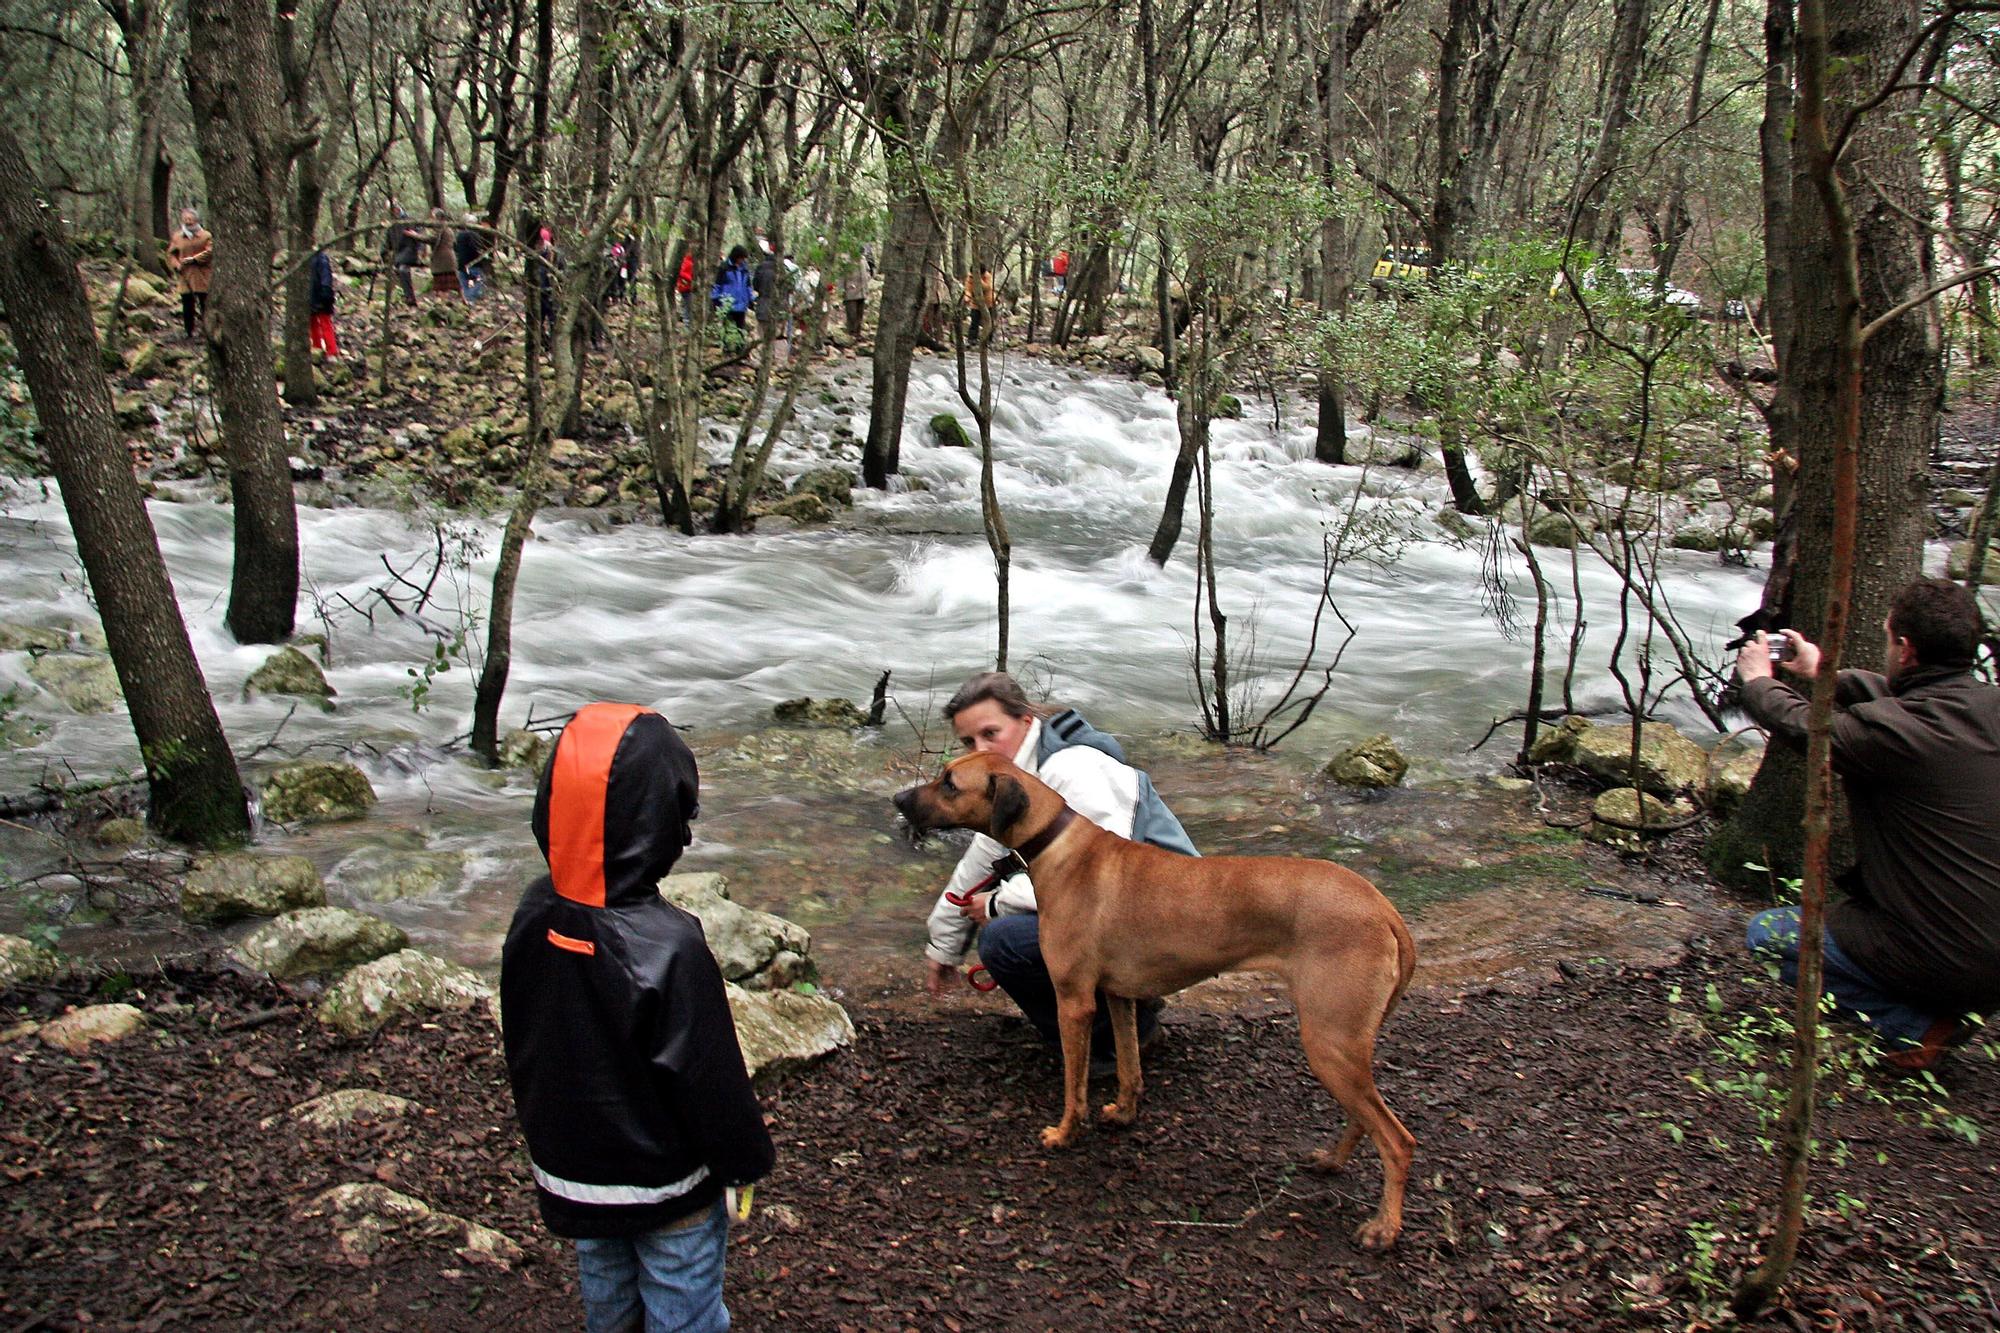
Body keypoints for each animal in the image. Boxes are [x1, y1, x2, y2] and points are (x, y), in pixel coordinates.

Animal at [892, 752, 1424, 1248]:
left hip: (1328, 1040)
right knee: (1365, 1121)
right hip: (1344, 1044)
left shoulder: (1074, 1002)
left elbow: (1073, 1086)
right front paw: (1123, 1113)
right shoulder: (1117, 996)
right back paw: (1332, 1161)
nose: (898, 800)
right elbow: (1130, 1066)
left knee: (1397, 1140)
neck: (1057, 842)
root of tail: (1384, 909)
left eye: (950, 783)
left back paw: (1384, 1227)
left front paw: (1064, 1133)